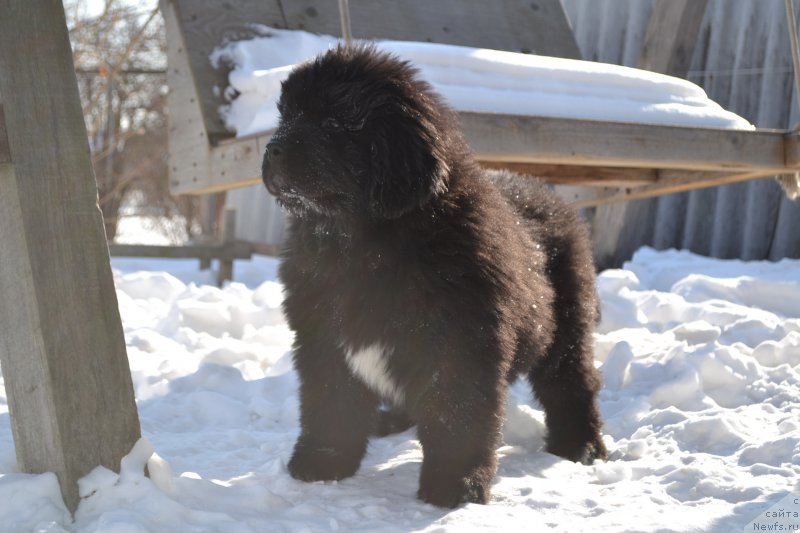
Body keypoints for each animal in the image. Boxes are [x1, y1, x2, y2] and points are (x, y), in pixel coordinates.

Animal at [262, 44, 608, 508]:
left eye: (334, 122)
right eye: (286, 115)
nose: (272, 148)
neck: (360, 246)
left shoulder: (462, 346)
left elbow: (456, 417)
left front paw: (454, 486)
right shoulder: (323, 341)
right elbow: (330, 404)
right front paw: (322, 464)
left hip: (567, 323)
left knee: (572, 383)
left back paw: (581, 446)